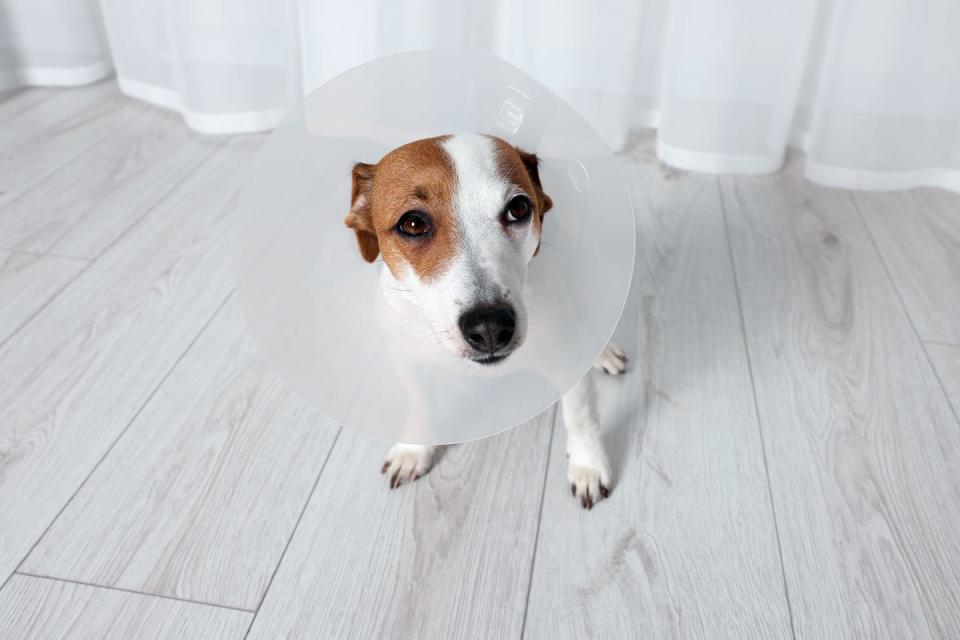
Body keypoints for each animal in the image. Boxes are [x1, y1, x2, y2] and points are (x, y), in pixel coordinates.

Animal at [342, 132, 628, 508]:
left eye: (519, 208)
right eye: (413, 224)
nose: (490, 327)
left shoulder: (568, 364)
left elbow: (580, 416)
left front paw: (588, 464)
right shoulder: (407, 358)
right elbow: (420, 406)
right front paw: (414, 449)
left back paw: (604, 351)